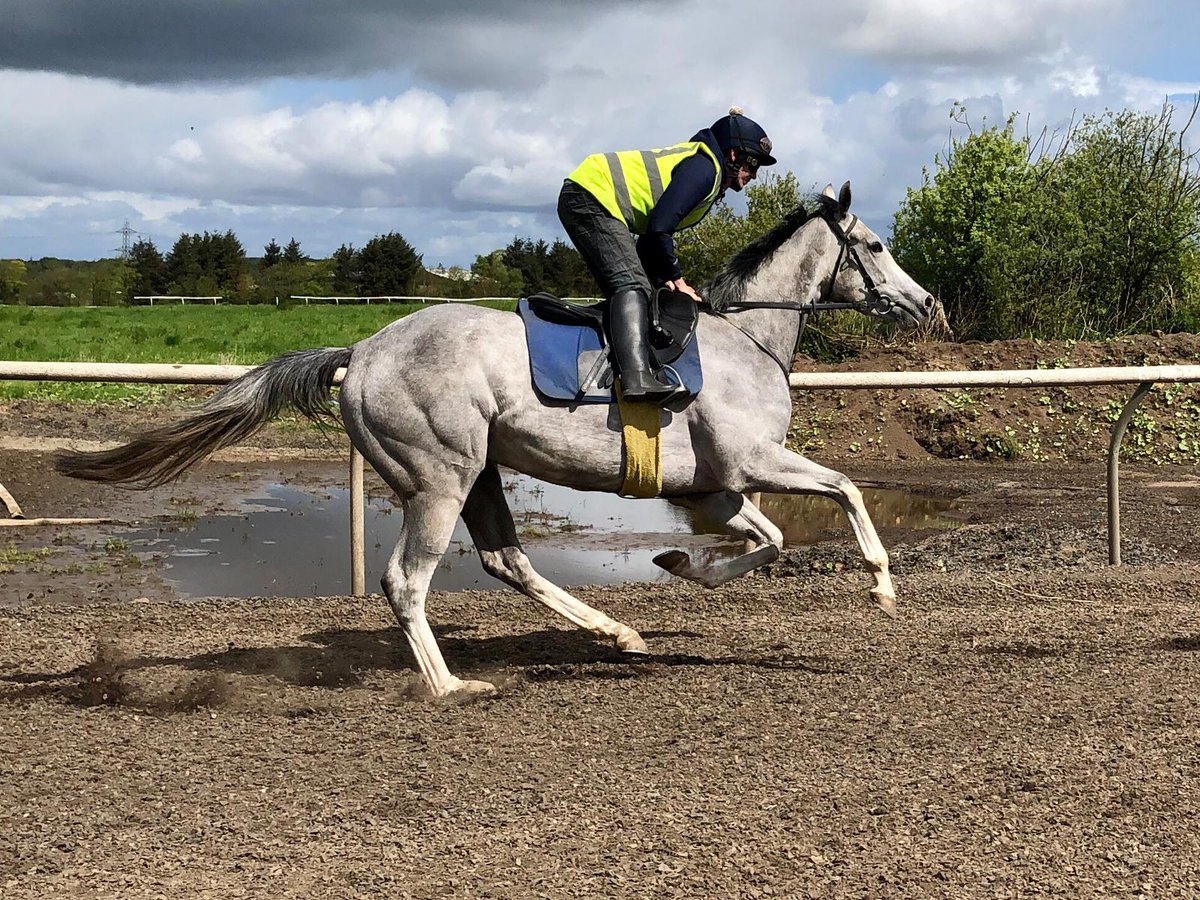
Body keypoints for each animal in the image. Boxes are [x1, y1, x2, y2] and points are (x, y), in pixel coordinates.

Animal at [56, 184, 936, 696]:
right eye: (878, 246)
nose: (926, 305)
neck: (749, 337)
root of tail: (360, 352)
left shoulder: (715, 487)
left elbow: (771, 540)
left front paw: (683, 567)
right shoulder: (752, 462)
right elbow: (847, 491)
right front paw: (883, 588)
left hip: (480, 472)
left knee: (507, 561)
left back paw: (616, 632)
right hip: (439, 478)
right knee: (406, 581)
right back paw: (449, 687)